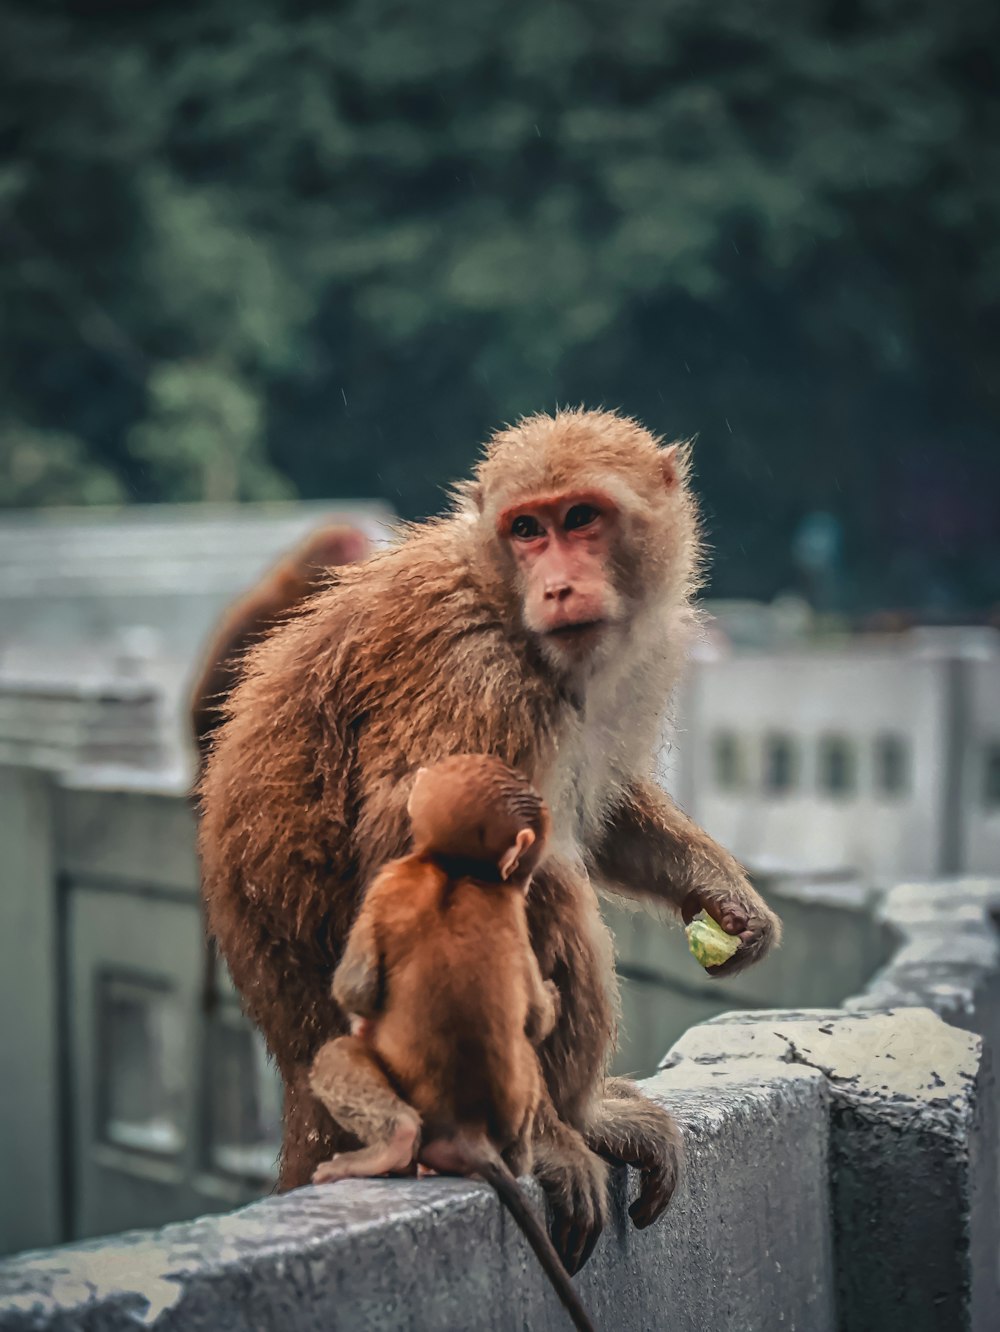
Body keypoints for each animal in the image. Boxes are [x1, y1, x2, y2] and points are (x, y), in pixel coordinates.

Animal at [312, 756, 593, 1326]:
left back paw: (392, 1144)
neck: (459, 871)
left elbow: (356, 988)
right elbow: (533, 1017)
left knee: (339, 1057)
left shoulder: (391, 877)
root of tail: (470, 1132)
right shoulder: (507, 909)